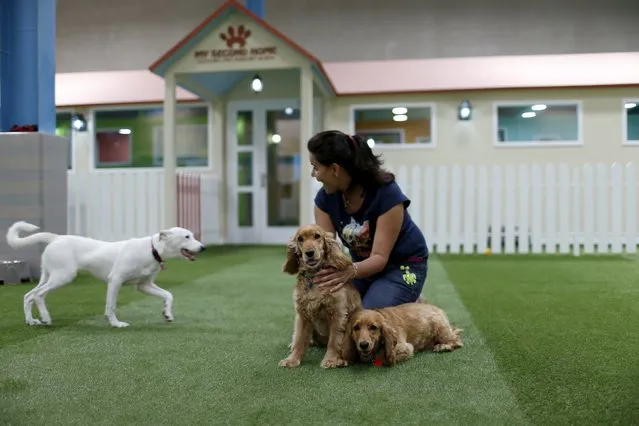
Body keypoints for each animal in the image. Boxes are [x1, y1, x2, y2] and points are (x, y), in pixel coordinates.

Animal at [6, 221, 206, 328]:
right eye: (187, 237)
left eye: (192, 235)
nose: (203, 247)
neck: (152, 250)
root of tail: (56, 238)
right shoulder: (115, 281)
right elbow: (111, 306)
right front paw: (116, 324)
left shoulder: (144, 286)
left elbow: (168, 295)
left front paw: (167, 313)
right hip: (63, 276)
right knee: (38, 295)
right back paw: (46, 318)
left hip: (50, 276)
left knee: (29, 295)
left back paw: (32, 321)